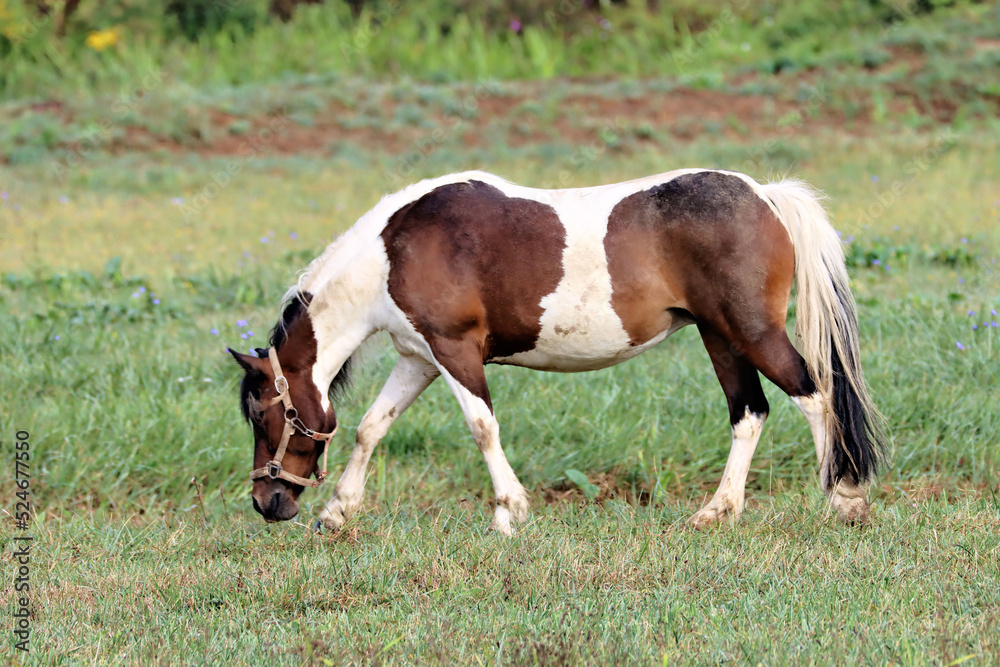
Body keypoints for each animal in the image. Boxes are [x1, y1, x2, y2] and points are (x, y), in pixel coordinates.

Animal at [228, 168, 887, 536]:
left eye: (261, 414)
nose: (267, 502)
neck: (393, 252)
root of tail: (765, 196)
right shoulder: (418, 358)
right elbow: (371, 427)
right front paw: (338, 513)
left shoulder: (454, 353)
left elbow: (482, 427)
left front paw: (510, 512)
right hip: (719, 336)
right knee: (750, 413)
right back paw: (717, 512)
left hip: (749, 331)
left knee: (815, 395)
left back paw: (844, 500)